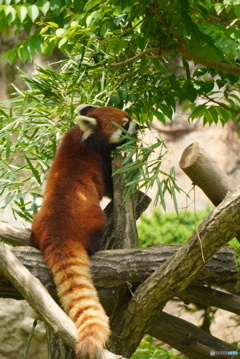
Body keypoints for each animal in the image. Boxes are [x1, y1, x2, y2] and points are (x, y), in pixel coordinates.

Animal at [29, 105, 138, 358]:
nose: (138, 125)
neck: (85, 137)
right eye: (124, 124)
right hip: (93, 220)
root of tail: (58, 234)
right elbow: (110, 185)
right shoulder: (101, 161)